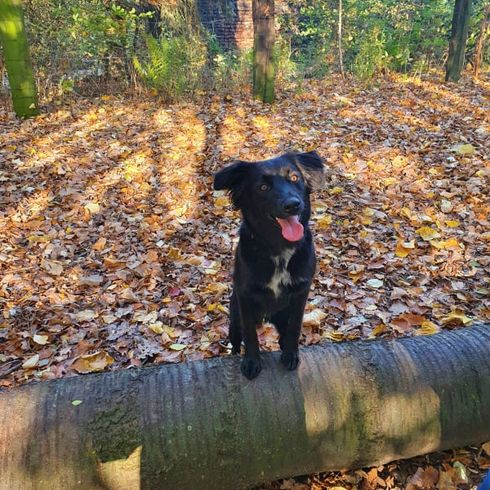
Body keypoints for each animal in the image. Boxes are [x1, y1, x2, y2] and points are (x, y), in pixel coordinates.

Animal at [214, 150, 326, 378]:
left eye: (295, 177)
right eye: (263, 187)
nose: (293, 204)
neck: (279, 249)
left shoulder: (301, 292)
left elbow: (295, 327)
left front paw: (291, 354)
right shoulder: (245, 297)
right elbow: (250, 334)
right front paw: (251, 361)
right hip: (234, 319)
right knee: (236, 342)